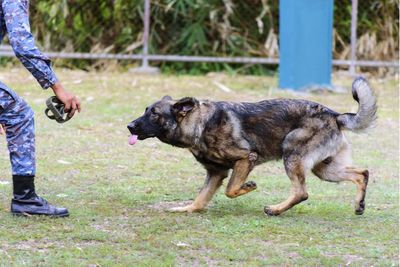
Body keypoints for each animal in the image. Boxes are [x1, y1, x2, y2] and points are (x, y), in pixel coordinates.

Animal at [127, 77, 376, 216]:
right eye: (146, 110)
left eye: (155, 114)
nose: (129, 126)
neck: (199, 124)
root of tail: (334, 115)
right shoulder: (215, 173)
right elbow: (200, 199)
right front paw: (187, 209)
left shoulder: (246, 158)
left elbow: (230, 190)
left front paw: (248, 186)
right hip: (324, 169)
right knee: (362, 173)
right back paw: (359, 204)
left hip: (292, 156)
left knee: (301, 192)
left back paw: (275, 210)